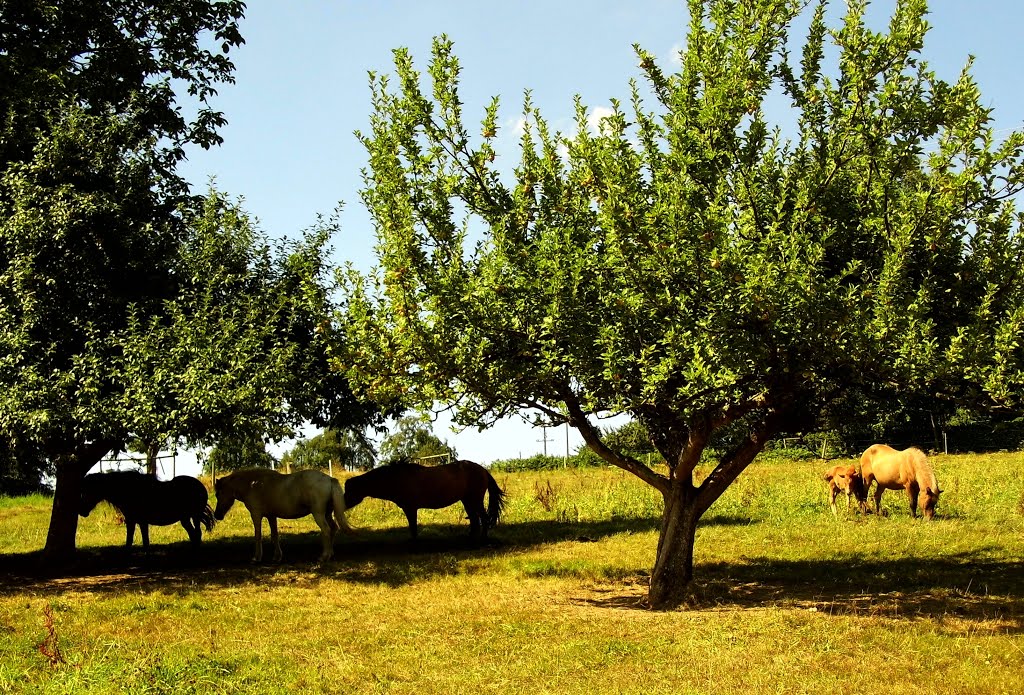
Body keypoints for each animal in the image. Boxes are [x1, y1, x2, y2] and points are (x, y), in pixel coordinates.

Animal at [80, 470, 216, 552]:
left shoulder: (138, 521)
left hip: (195, 515)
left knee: (197, 533)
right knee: (194, 534)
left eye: (89, 490)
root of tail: (200, 486)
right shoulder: (136, 521)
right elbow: (135, 541)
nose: (82, 511)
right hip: (185, 518)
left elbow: (141, 541)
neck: (129, 491)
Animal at [214, 466, 350, 565]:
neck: (252, 485)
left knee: (326, 530)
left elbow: (258, 536)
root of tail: (329, 479)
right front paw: (277, 557)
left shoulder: (256, 515)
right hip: (327, 514)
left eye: (218, 494)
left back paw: (323, 557)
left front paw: (257, 558)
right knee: (333, 529)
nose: (217, 515)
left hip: (318, 514)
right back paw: (330, 554)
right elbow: (275, 535)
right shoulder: (271, 516)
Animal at [344, 458, 503, 540]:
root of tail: (483, 470)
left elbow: (413, 528)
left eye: (350, 490)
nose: (343, 503)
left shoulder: (410, 508)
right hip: (467, 501)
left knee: (483, 518)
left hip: (475, 500)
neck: (396, 478)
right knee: (475, 520)